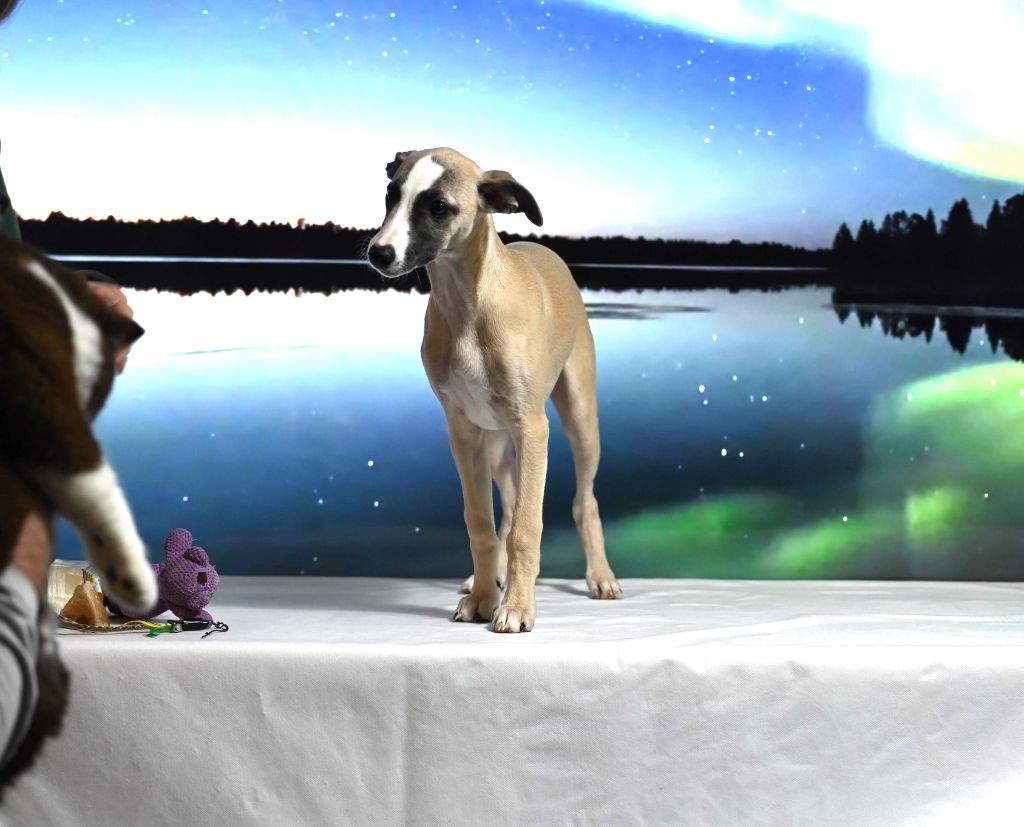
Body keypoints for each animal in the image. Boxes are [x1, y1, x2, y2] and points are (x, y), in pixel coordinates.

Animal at [367, 147, 621, 633]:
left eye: (439, 207)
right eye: (391, 194)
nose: (378, 253)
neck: (469, 306)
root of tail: (543, 247)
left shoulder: (534, 429)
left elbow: (526, 528)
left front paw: (518, 608)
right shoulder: (462, 432)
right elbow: (482, 523)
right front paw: (485, 596)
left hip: (578, 421)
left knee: (585, 502)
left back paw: (600, 576)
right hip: (498, 445)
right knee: (506, 509)